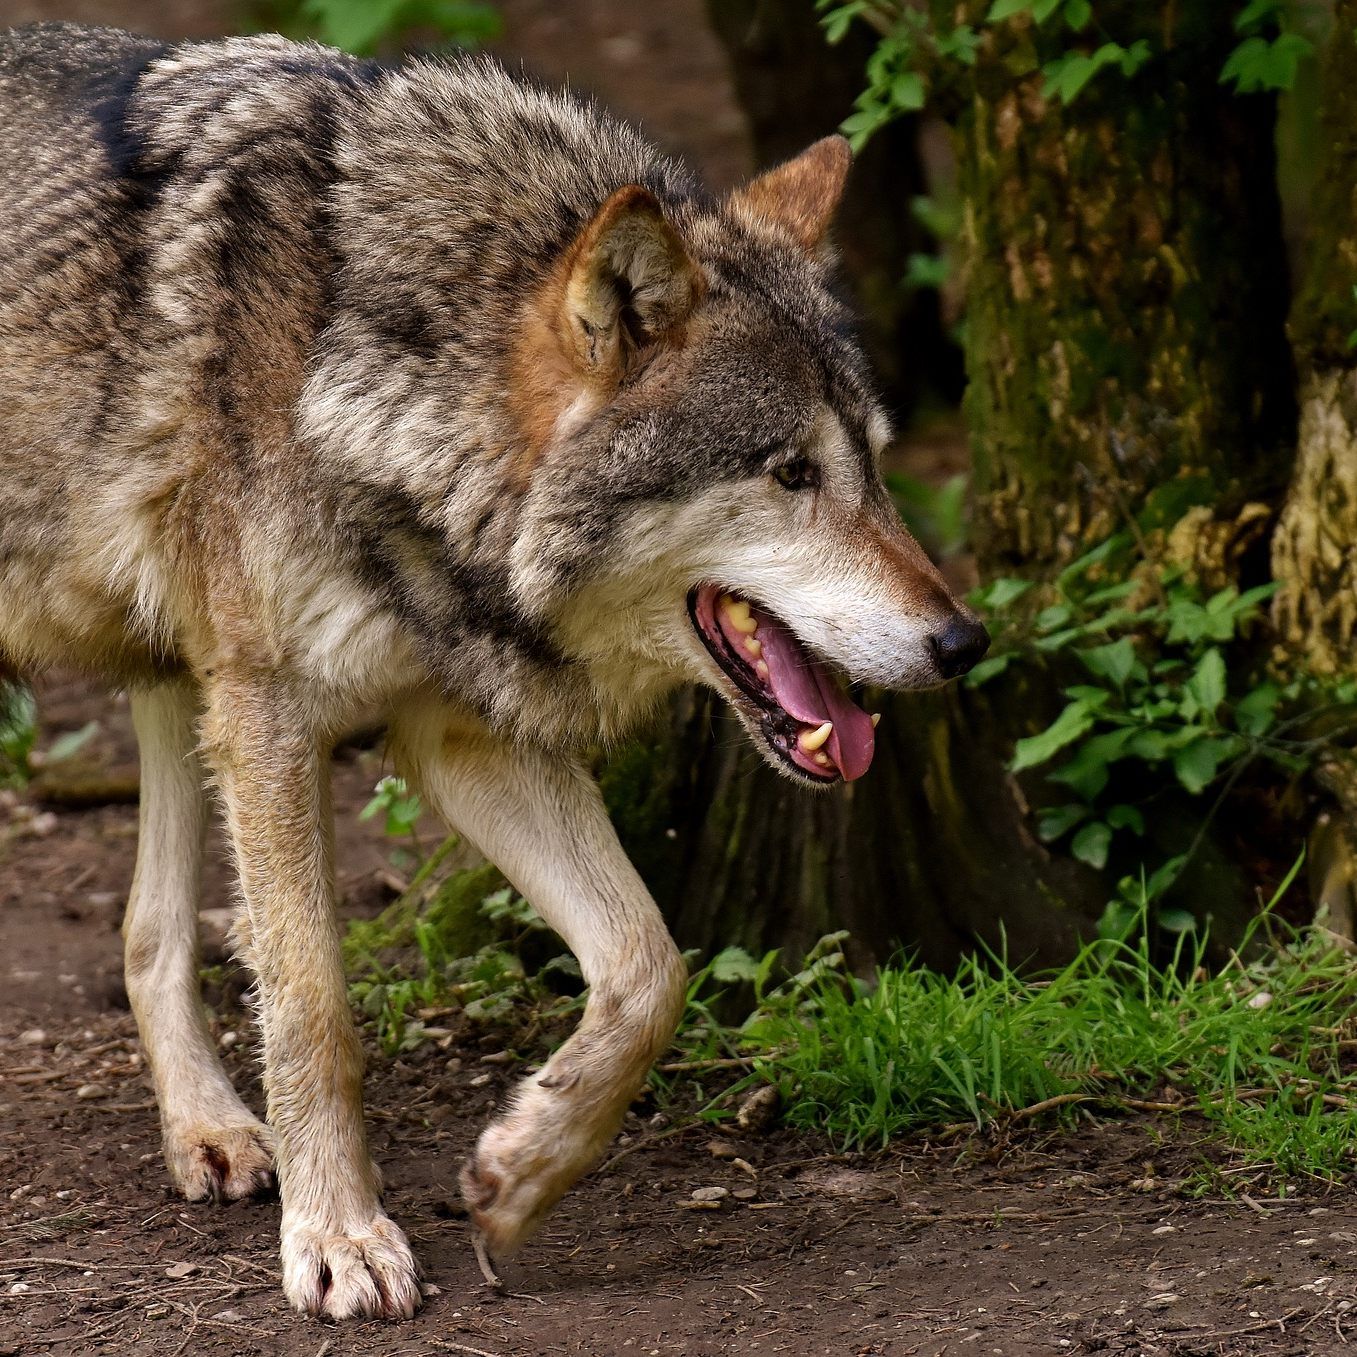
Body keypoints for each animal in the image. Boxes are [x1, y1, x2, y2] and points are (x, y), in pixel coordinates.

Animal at [0, 22, 988, 1319]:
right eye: (789, 473)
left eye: (873, 466)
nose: (963, 642)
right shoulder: (273, 718)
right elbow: (313, 1006)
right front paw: (339, 1235)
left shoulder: (456, 734)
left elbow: (649, 966)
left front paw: (525, 1168)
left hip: (177, 672)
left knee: (149, 929)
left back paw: (210, 1130)